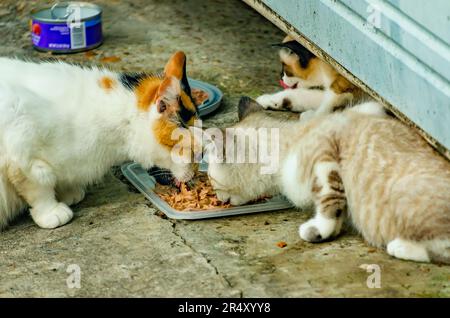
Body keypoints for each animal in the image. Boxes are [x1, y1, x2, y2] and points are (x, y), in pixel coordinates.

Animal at [0, 51, 197, 230]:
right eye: (193, 151)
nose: (194, 173)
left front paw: (68, 193)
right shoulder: (21, 148)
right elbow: (39, 187)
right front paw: (51, 212)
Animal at [207, 97, 450, 264]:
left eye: (211, 180)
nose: (218, 198)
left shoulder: (324, 157)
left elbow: (328, 201)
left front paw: (319, 231)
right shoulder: (371, 108)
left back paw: (401, 247)